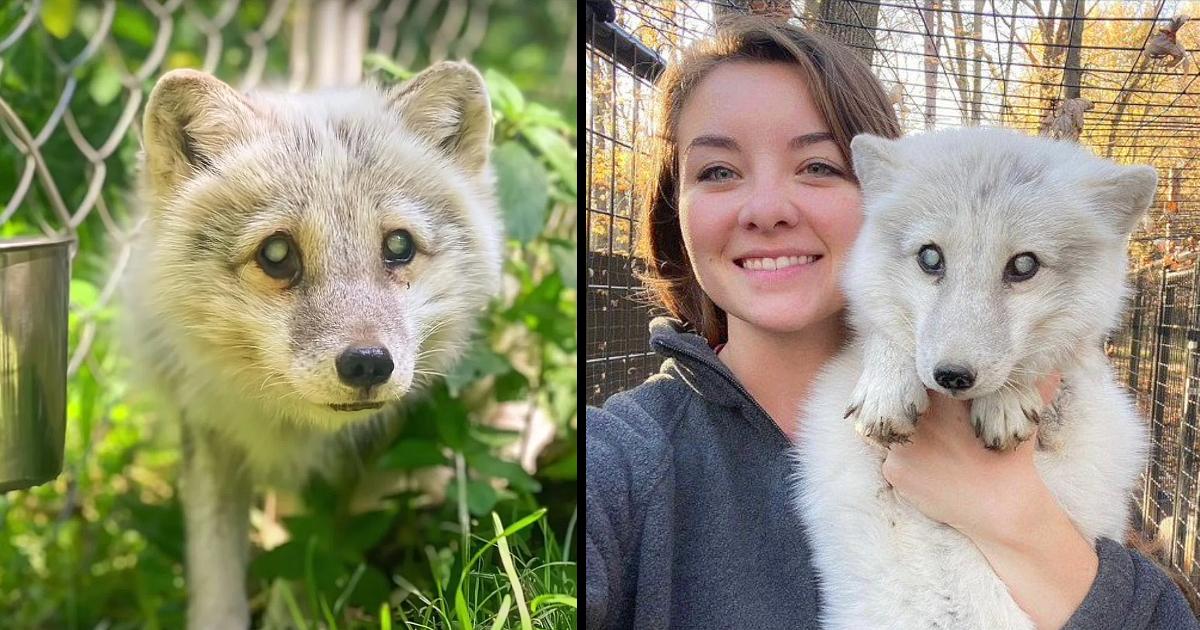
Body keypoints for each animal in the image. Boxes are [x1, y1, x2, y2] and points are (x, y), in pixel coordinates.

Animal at [118, 60, 501, 628]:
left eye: (399, 246)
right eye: (277, 254)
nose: (367, 365)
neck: (287, 429)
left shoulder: (344, 467)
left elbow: (305, 567)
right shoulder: (209, 433)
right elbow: (216, 579)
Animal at [792, 127, 1156, 628]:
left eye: (1023, 265)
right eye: (930, 257)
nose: (951, 375)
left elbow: (1045, 367)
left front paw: (1008, 398)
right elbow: (885, 334)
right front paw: (887, 385)